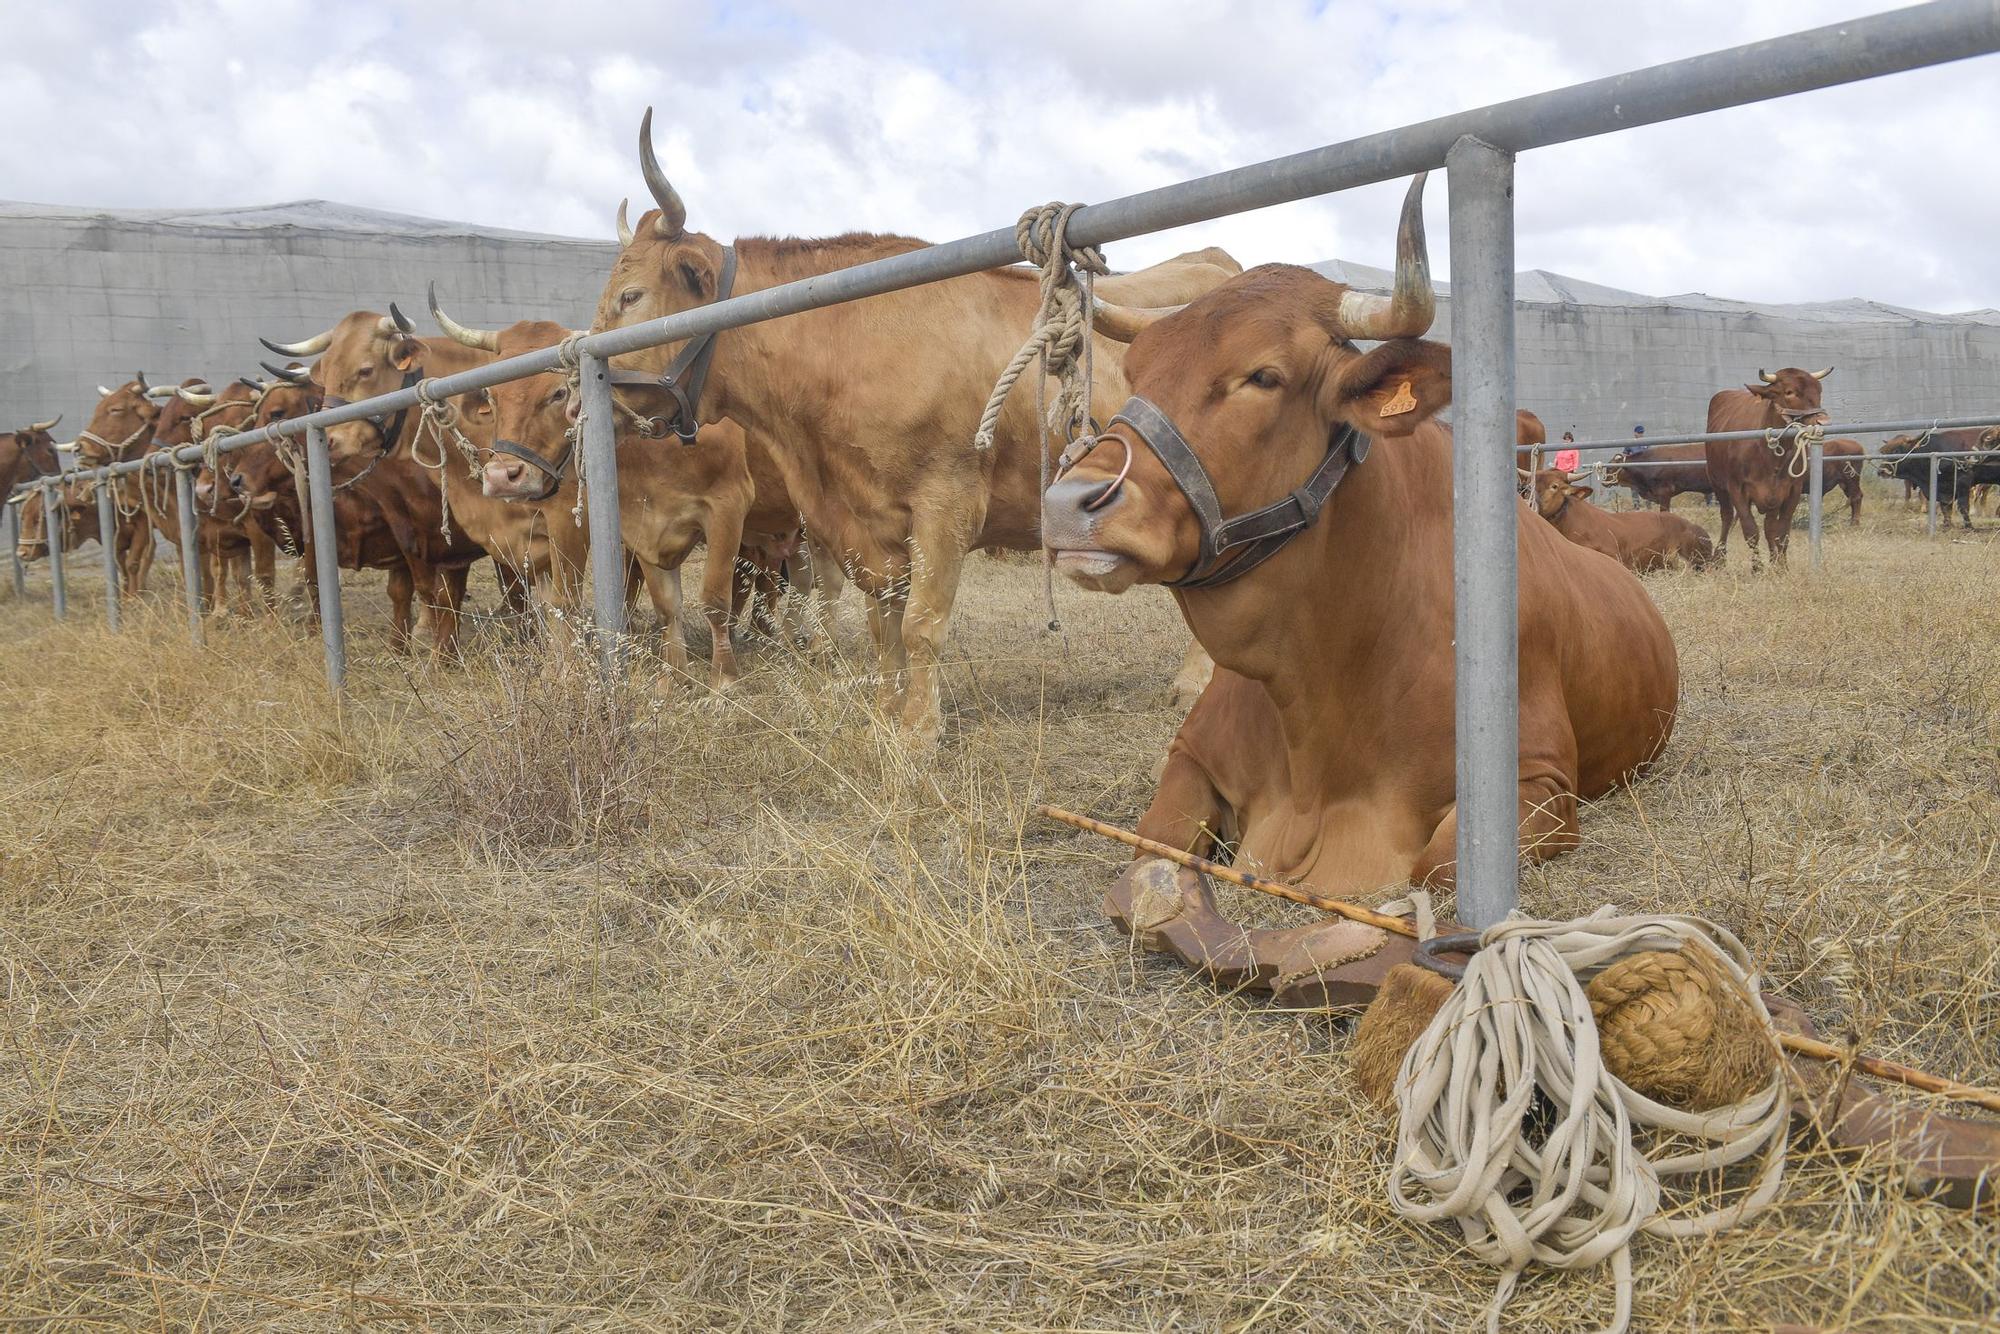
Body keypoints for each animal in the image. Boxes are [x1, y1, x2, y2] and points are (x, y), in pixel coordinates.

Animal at [1032, 177, 1672, 904]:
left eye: (1263, 376)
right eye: (1136, 376)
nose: (1067, 503)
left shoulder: (1538, 782)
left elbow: (1436, 866)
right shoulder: (1191, 753)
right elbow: (1153, 846)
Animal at [1704, 366, 1832, 568]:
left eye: (1819, 390)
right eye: (1789, 392)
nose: (1824, 423)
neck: (1768, 454)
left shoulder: (1791, 490)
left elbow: (1781, 533)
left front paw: (1781, 566)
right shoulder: (1736, 488)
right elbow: (1751, 532)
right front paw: (1757, 568)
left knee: (1769, 527)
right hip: (1717, 483)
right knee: (1726, 517)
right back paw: (1720, 557)